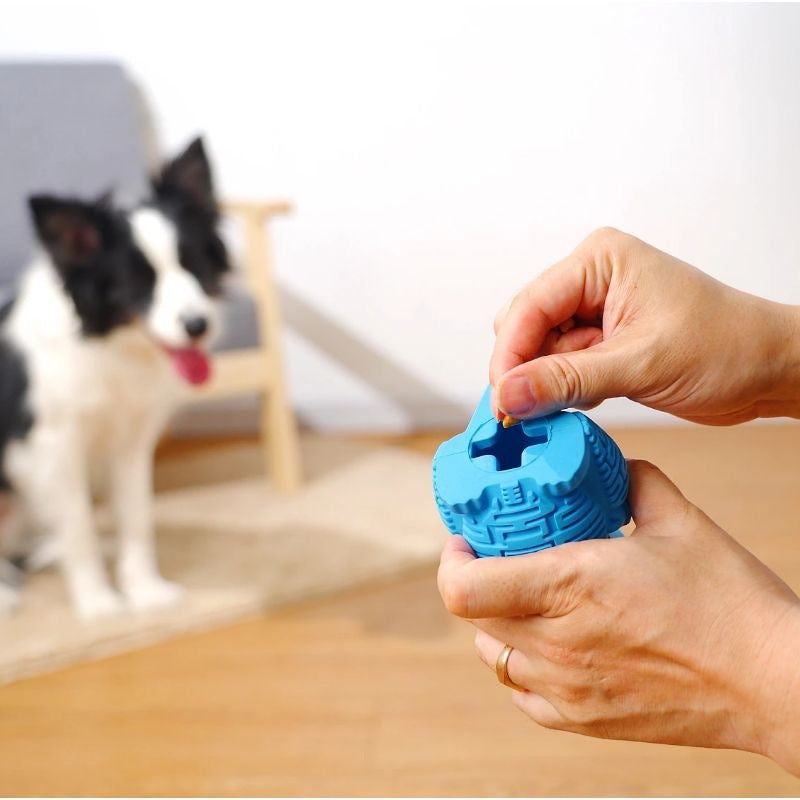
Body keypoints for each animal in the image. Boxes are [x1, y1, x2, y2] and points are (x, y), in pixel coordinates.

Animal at [0, 139, 228, 620]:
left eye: (193, 265)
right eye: (138, 282)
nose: (197, 326)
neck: (108, 345)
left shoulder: (131, 441)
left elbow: (137, 518)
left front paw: (145, 591)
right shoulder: (51, 446)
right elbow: (79, 526)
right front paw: (98, 603)